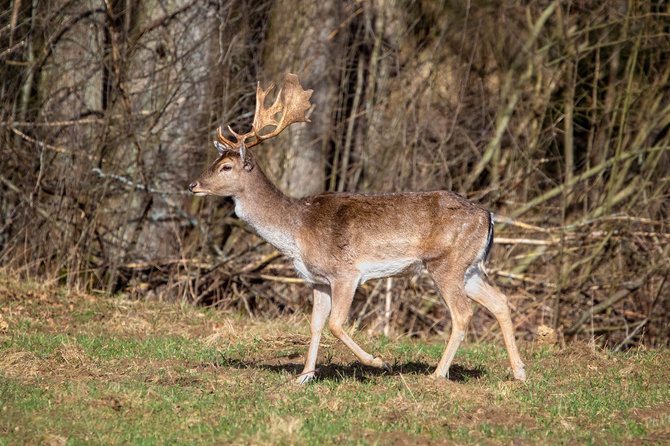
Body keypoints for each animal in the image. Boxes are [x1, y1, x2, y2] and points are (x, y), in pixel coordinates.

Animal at [188, 73, 524, 384]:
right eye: (216, 159)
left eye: (226, 166)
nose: (194, 185)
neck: (297, 230)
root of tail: (488, 216)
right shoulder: (317, 280)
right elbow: (315, 324)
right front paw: (304, 376)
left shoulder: (346, 273)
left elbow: (336, 323)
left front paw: (379, 362)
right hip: (470, 267)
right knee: (500, 301)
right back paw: (519, 372)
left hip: (446, 263)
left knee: (463, 314)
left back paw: (438, 374)